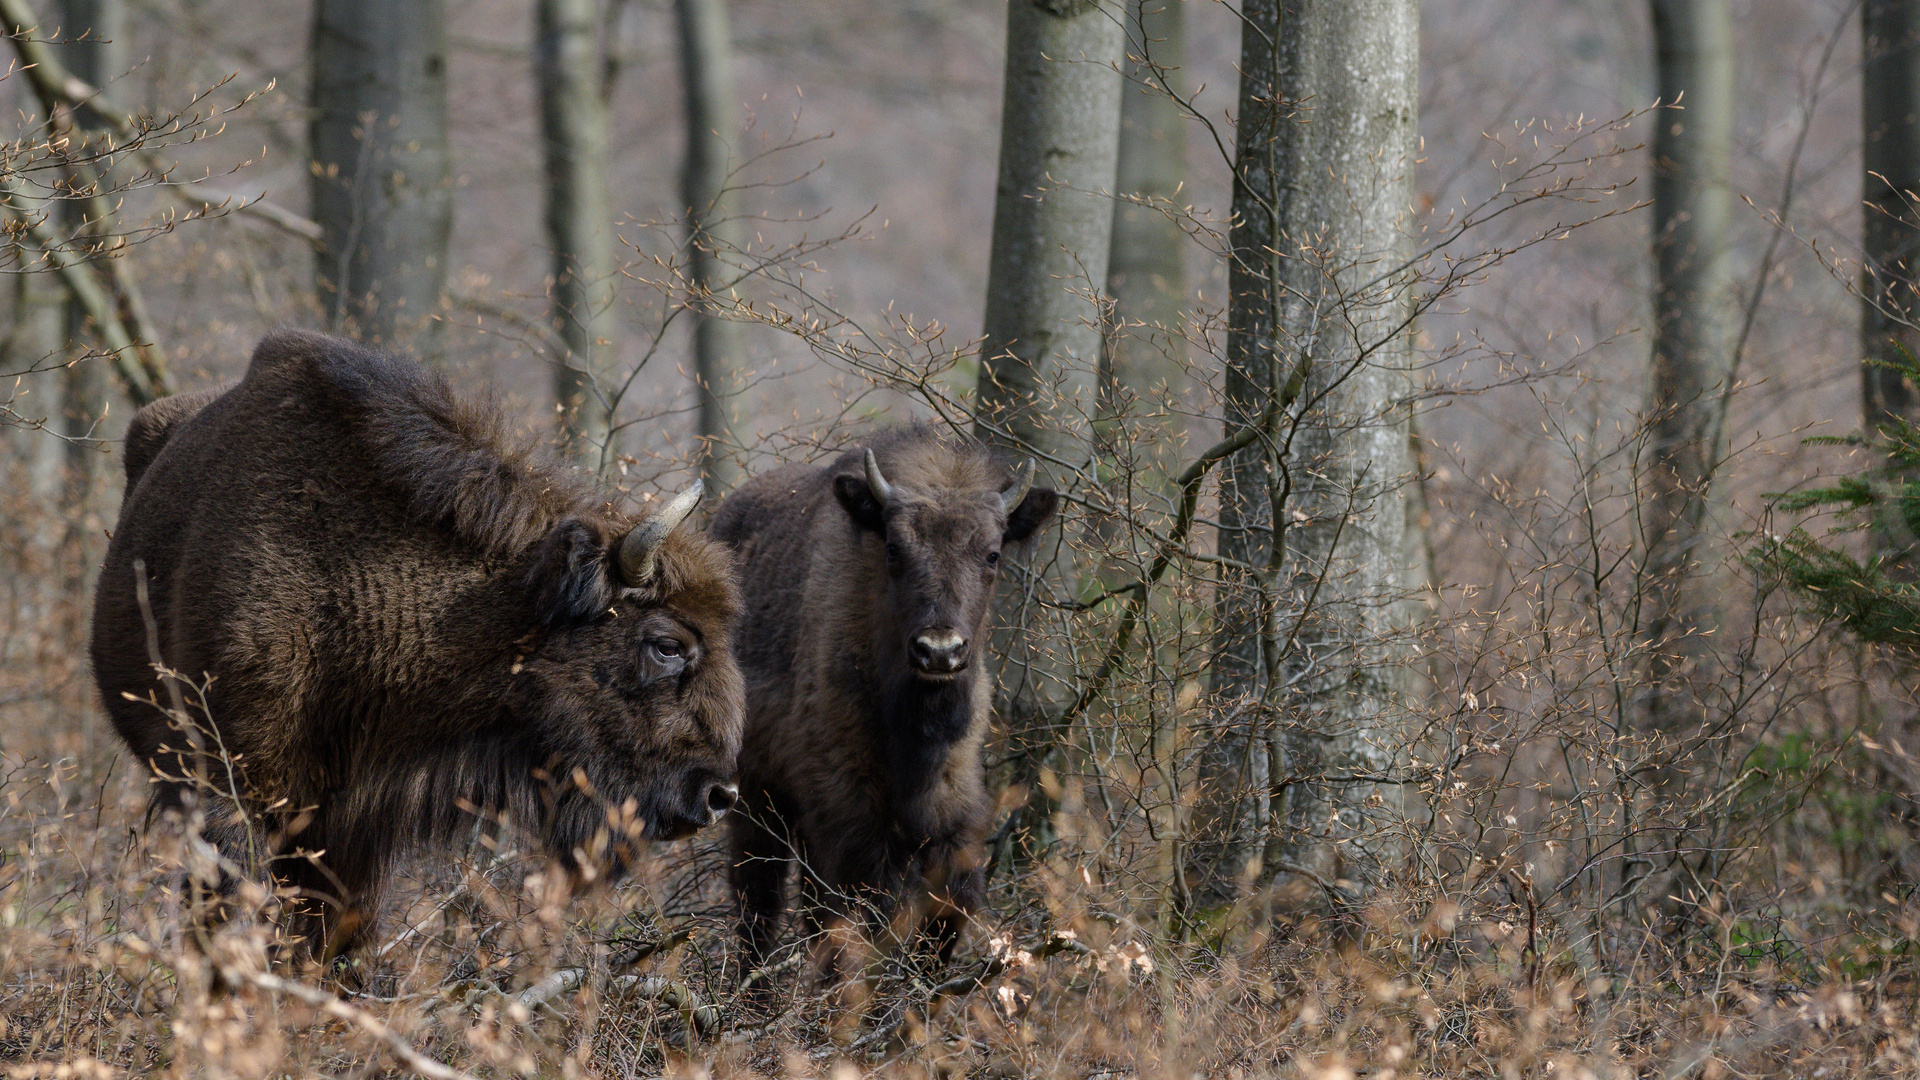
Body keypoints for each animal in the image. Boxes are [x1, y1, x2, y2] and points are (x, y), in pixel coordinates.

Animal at [710, 424, 1059, 980]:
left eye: (992, 554)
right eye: (894, 549)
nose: (939, 650)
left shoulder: (952, 819)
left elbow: (942, 919)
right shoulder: (847, 817)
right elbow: (858, 921)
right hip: (756, 800)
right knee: (759, 903)